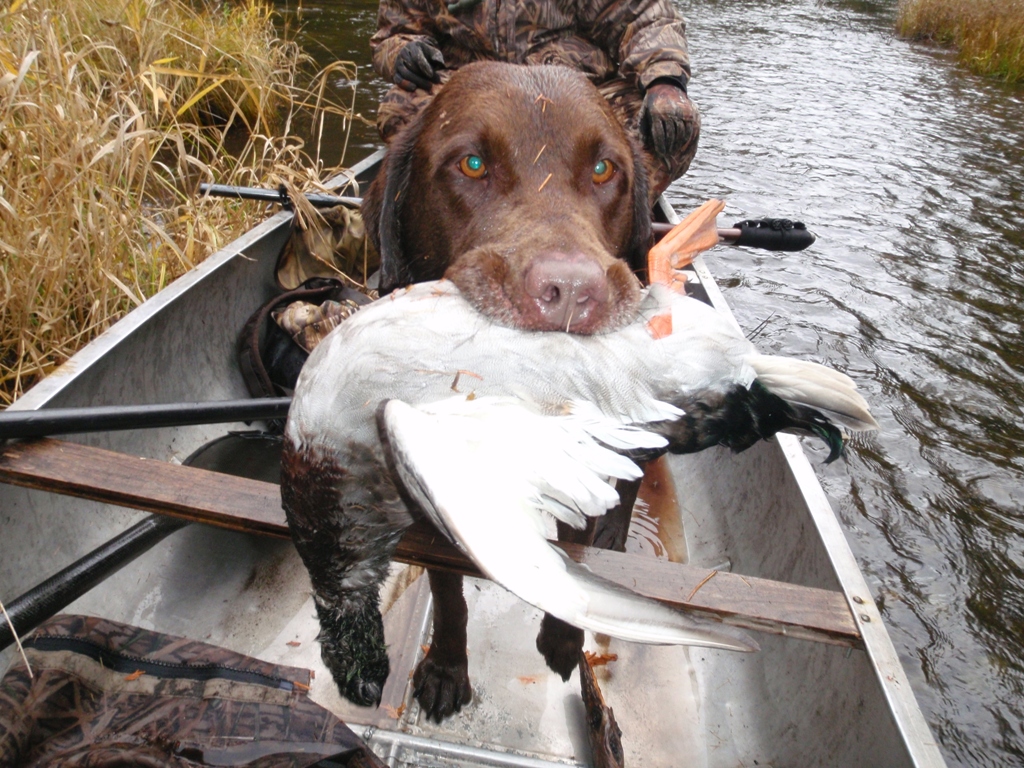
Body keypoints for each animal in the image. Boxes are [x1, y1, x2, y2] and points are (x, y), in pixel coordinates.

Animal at [356, 63, 651, 724]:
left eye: (604, 169)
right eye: (471, 164)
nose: (570, 292)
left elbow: (576, 553)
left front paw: (563, 637)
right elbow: (448, 592)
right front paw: (446, 668)